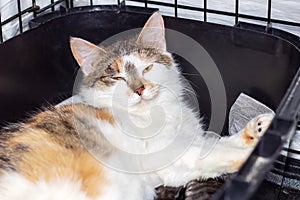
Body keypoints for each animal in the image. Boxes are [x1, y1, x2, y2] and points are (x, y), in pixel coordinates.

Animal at [0, 12, 274, 200]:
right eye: (117, 78)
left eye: (147, 67)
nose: (139, 89)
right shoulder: (167, 156)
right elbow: (211, 153)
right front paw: (250, 157)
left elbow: (214, 144)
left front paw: (258, 130)